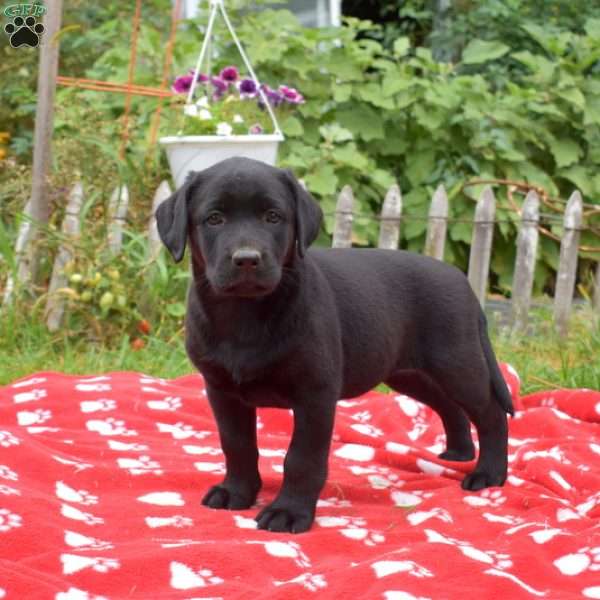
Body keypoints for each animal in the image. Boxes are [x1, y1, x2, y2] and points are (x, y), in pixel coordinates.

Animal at [157, 156, 512, 536]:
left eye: (273, 217)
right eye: (214, 219)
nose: (247, 258)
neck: (245, 314)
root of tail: (463, 281)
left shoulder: (315, 393)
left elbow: (301, 458)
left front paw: (288, 511)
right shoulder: (221, 390)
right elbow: (236, 444)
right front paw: (236, 492)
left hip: (457, 363)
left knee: (490, 413)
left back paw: (489, 473)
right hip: (408, 372)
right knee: (450, 406)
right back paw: (459, 454)